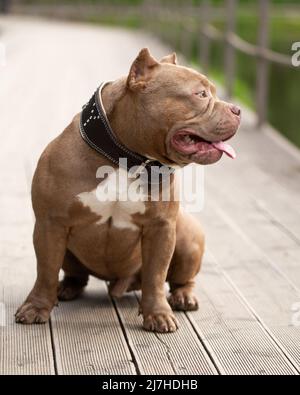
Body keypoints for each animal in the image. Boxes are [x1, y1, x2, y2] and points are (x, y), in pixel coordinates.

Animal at [14, 49, 241, 334]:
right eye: (200, 94)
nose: (237, 110)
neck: (124, 158)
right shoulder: (50, 224)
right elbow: (45, 270)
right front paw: (36, 307)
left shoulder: (161, 228)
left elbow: (156, 276)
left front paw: (158, 314)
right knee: (74, 274)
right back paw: (66, 288)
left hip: (187, 235)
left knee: (180, 278)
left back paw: (183, 296)